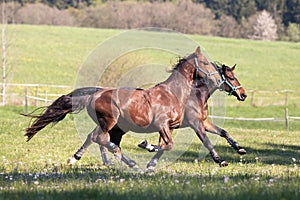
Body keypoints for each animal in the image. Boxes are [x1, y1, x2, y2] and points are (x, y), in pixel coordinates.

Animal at [22, 46, 223, 166]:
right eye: (205, 63)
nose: (217, 80)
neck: (173, 93)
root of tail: (95, 94)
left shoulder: (171, 126)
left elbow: (166, 145)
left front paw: (149, 157)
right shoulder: (163, 125)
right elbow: (168, 145)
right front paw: (146, 147)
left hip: (114, 125)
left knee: (96, 138)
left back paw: (79, 158)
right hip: (110, 121)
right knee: (100, 138)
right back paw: (125, 161)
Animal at [68, 61, 248, 170]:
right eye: (231, 77)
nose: (243, 95)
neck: (194, 96)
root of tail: (97, 93)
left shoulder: (202, 122)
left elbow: (223, 132)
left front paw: (240, 149)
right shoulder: (195, 124)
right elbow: (206, 141)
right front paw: (220, 160)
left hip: (117, 126)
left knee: (98, 138)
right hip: (114, 124)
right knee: (99, 138)